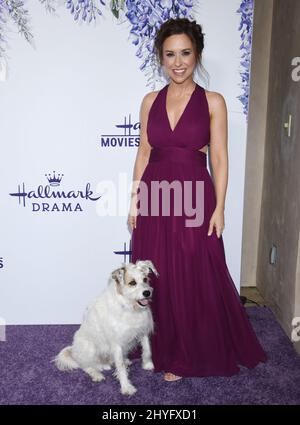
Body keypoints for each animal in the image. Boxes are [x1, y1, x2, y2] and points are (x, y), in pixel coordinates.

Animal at [53, 258, 159, 394]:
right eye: (132, 283)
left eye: (145, 279)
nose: (147, 293)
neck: (129, 307)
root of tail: (74, 351)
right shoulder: (117, 343)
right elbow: (120, 366)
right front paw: (126, 387)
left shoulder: (143, 331)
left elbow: (147, 350)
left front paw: (147, 364)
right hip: (90, 348)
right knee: (85, 365)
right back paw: (97, 373)